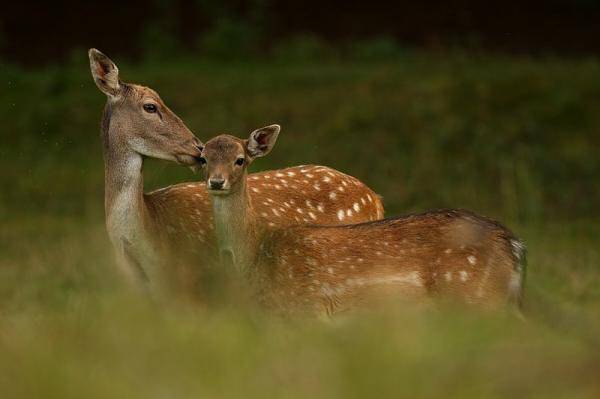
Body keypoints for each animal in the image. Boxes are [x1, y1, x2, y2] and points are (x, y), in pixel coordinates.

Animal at [200, 126, 524, 318]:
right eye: (203, 158)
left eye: (240, 159)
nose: (216, 182)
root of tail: (514, 246)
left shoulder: (307, 310)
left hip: (476, 298)